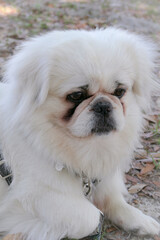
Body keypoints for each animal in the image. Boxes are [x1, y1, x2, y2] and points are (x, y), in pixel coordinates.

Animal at [0, 27, 159, 239]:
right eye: (76, 96)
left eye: (119, 92)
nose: (103, 105)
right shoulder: (32, 194)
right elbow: (92, 215)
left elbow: (115, 202)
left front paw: (142, 222)